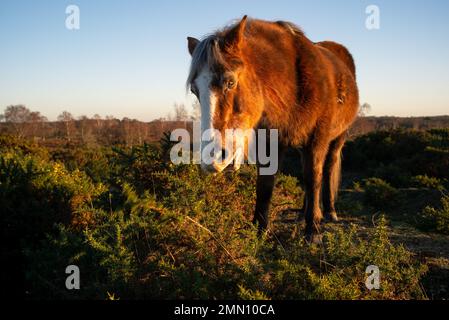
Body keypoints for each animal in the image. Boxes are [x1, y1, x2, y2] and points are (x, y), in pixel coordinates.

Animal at [185, 16, 356, 242]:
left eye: (230, 82)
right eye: (195, 90)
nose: (212, 159)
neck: (294, 82)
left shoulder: (316, 140)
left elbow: (314, 178)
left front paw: (313, 230)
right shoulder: (270, 141)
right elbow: (266, 185)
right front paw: (259, 230)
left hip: (338, 138)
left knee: (326, 170)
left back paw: (329, 212)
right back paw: (303, 213)